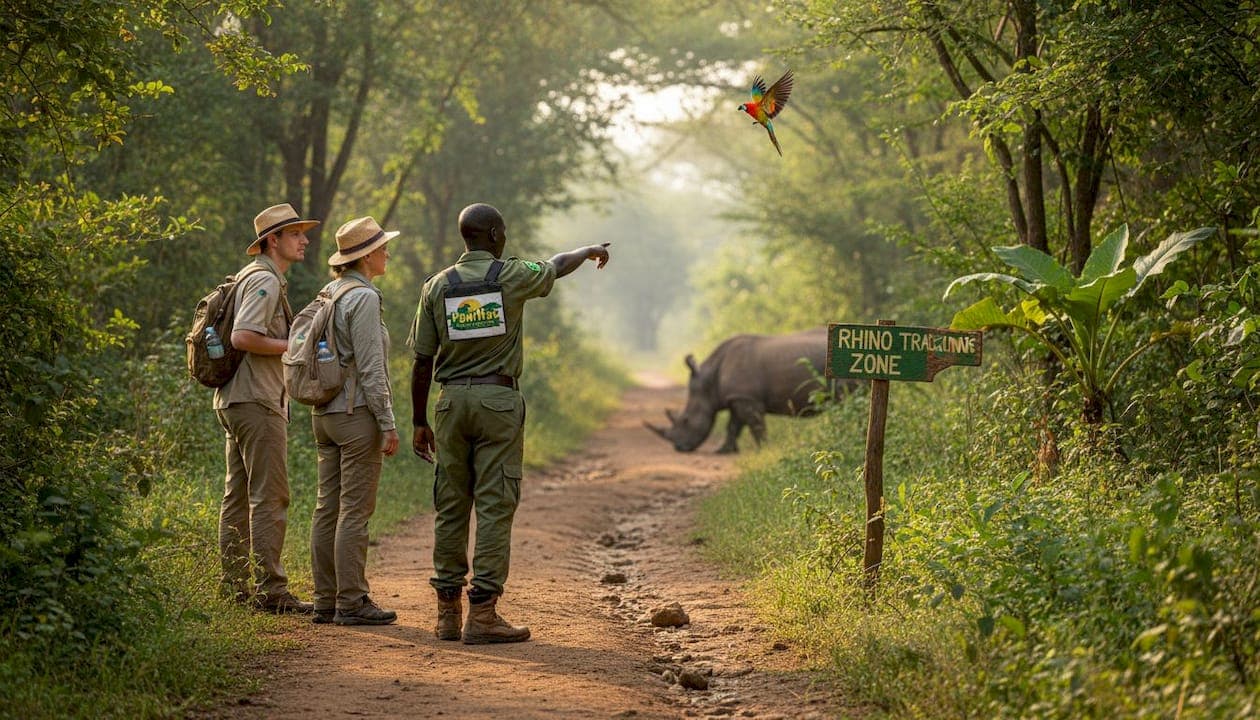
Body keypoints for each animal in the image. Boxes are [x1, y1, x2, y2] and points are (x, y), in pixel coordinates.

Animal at [645, 327, 853, 453]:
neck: (709, 381)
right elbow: (733, 426)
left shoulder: (746, 398)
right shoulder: (737, 398)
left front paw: (764, 449)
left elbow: (755, 425)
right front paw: (723, 450)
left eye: (686, 420)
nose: (678, 447)